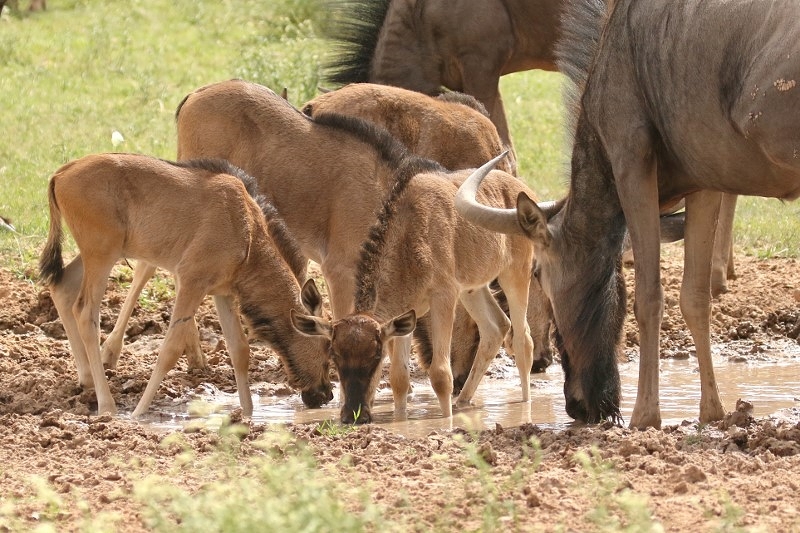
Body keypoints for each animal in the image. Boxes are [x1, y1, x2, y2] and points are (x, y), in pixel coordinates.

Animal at [39, 154, 332, 416]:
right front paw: (138, 415)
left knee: (62, 286)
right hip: (101, 255)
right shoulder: (191, 282)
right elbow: (170, 349)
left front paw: (248, 415)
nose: (326, 394)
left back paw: (87, 379)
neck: (248, 231)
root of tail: (61, 175)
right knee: (85, 313)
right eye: (327, 349)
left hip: (97, 254)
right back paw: (107, 405)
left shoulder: (223, 293)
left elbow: (239, 349)